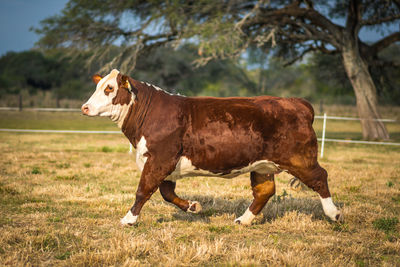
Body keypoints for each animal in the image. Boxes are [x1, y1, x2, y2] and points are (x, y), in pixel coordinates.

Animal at [82, 69, 344, 226]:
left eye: (109, 89)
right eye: (98, 87)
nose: (85, 107)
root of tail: (296, 102)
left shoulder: (159, 158)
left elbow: (143, 190)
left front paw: (129, 219)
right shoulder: (165, 164)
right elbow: (166, 193)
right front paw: (192, 206)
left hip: (300, 158)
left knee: (320, 177)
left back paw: (334, 213)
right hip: (262, 165)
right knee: (264, 191)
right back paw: (243, 220)